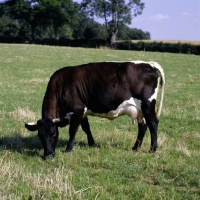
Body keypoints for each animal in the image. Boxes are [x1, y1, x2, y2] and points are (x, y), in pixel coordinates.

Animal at [24, 61, 166, 158]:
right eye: (39, 135)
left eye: (54, 134)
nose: (48, 155)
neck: (62, 85)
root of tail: (150, 64)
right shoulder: (83, 111)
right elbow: (86, 127)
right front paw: (91, 143)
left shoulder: (77, 110)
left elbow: (73, 130)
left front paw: (68, 149)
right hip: (140, 110)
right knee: (143, 126)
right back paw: (135, 147)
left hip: (147, 105)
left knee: (153, 123)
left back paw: (152, 149)